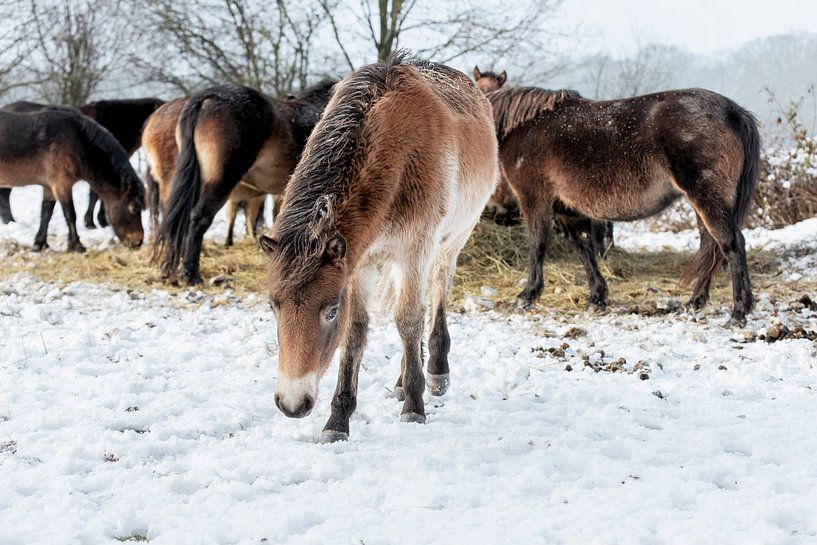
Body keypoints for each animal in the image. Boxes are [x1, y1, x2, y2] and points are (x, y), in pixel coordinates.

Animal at [261, 53, 498, 441]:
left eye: (330, 311)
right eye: (273, 306)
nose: (293, 404)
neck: (396, 153)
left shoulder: (415, 251)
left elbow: (408, 320)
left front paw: (415, 407)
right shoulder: (359, 263)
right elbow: (357, 332)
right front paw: (338, 419)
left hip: (450, 243)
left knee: (436, 294)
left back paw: (435, 374)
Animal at [487, 86, 760, 325]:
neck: (524, 126)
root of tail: (735, 112)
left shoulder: (534, 200)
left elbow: (538, 246)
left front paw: (527, 295)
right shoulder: (568, 210)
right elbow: (584, 249)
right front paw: (597, 297)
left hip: (707, 198)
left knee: (731, 244)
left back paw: (738, 313)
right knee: (711, 247)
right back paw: (694, 302)